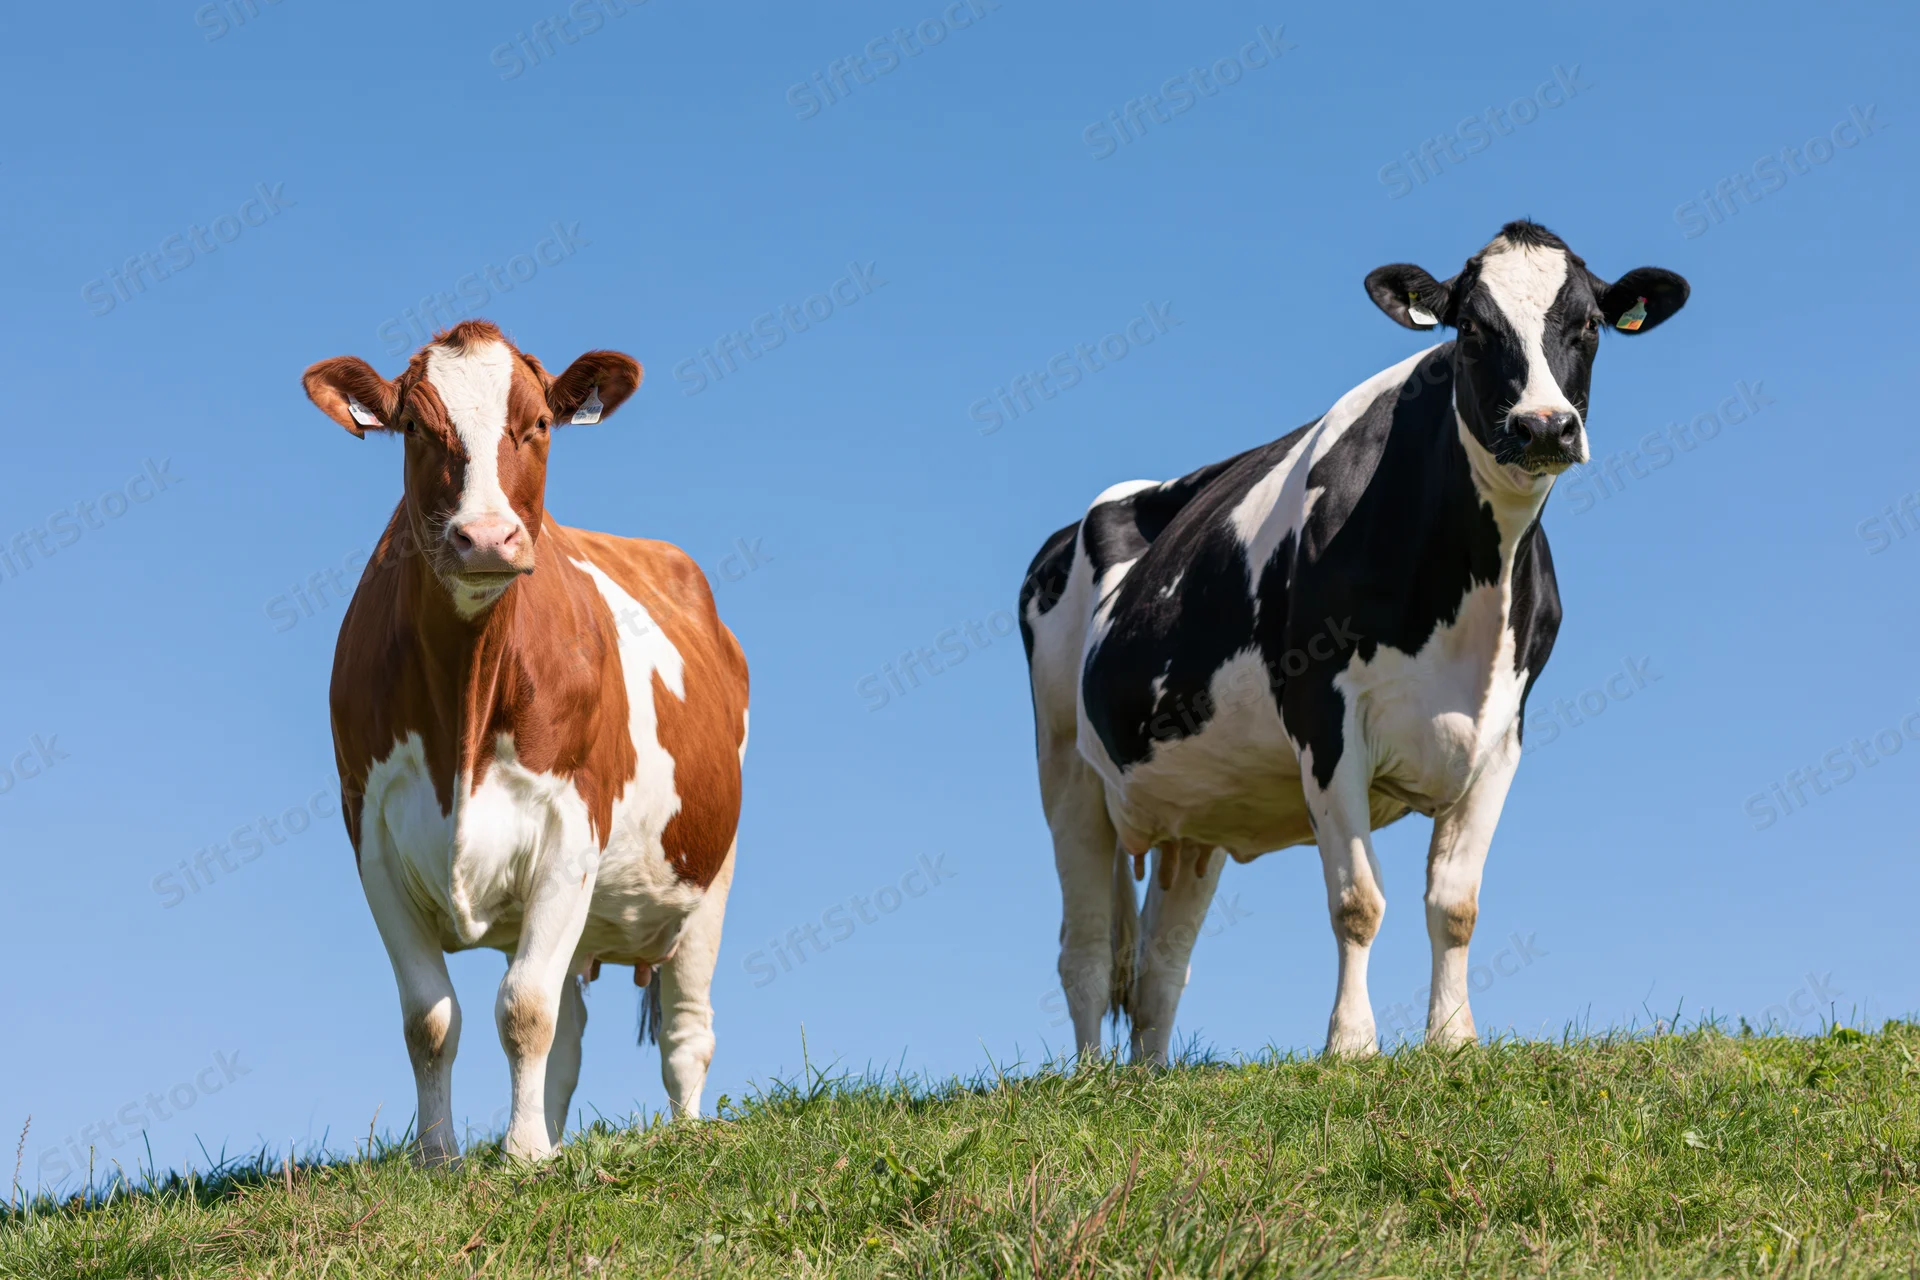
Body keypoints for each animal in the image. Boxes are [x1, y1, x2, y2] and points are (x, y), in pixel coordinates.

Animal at [301, 319, 748, 1162]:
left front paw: (522, 1157)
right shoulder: (372, 839)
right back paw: (556, 1134)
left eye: (539, 423)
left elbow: (524, 1009)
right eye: (416, 427)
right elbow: (432, 1019)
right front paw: (444, 1158)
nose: (484, 536)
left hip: (707, 877)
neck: (465, 706)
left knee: (685, 1033)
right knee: (569, 1040)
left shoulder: (572, 831)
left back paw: (683, 1134)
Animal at [1019, 221, 1688, 1062]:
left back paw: (1148, 1078)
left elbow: (1455, 905)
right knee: (1083, 945)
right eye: (1473, 330)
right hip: (1066, 768)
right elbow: (1357, 902)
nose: (1543, 426)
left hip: (1191, 810)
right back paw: (1091, 1078)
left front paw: (1453, 1041)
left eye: (1590, 326)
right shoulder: (1324, 718)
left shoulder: (1503, 733)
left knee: (1159, 966)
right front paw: (1350, 1046)